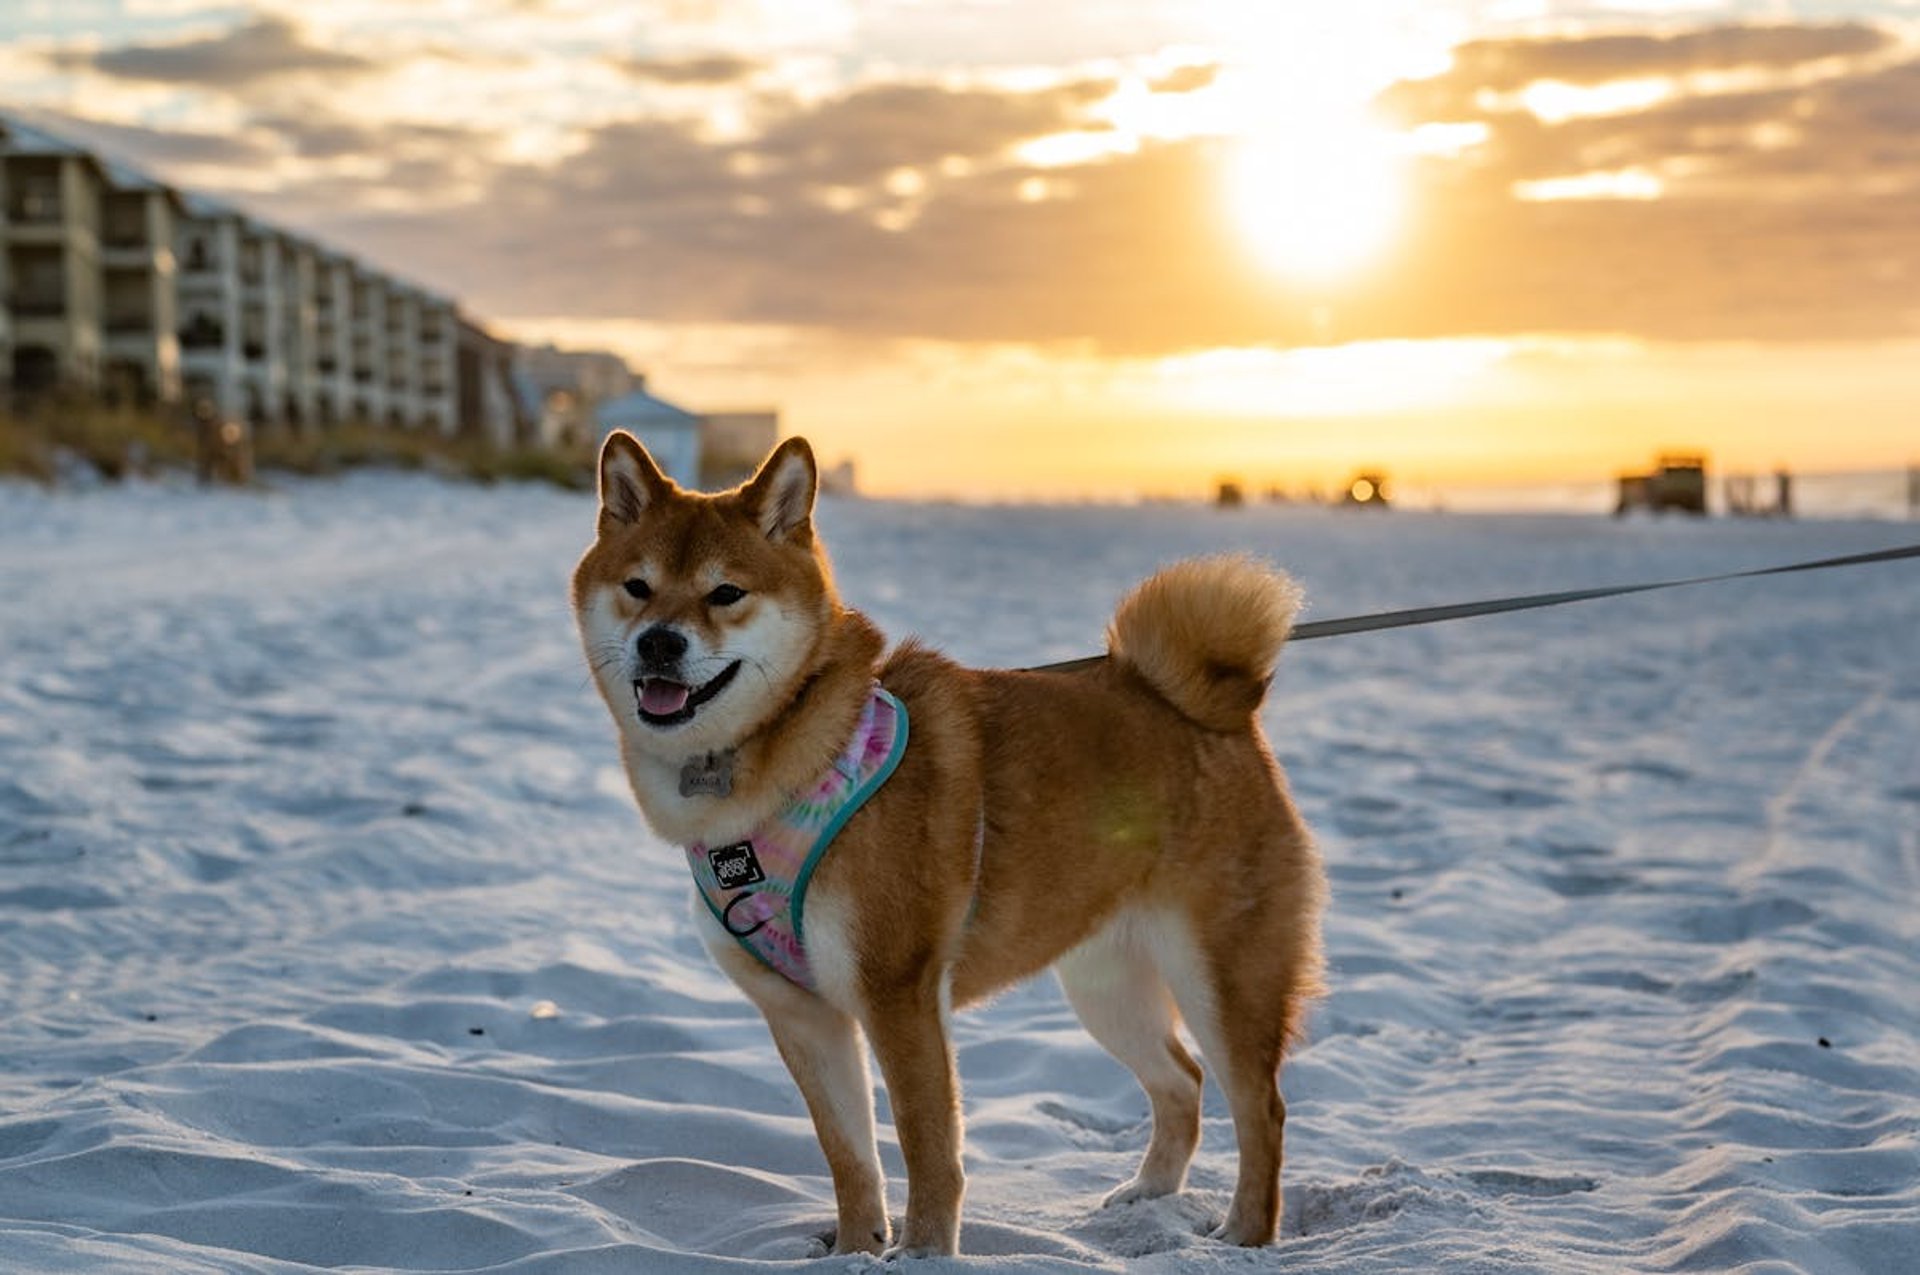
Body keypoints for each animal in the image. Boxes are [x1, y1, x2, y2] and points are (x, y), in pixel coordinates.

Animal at [568, 430, 1320, 1251]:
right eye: (638, 587)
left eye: (725, 593)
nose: (659, 643)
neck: (782, 760)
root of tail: (1213, 709)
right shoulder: (801, 1013)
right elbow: (849, 1157)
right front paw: (858, 1249)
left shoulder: (897, 992)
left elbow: (925, 1144)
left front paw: (924, 1248)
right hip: (1106, 983)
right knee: (1181, 1080)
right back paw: (1149, 1194)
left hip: (1220, 973)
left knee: (1260, 1105)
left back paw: (1244, 1233)